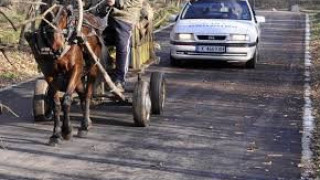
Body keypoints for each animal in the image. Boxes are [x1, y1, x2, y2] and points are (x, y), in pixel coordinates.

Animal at [27, 3, 107, 146]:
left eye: (64, 15)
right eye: (47, 16)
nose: (57, 47)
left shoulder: (75, 69)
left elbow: (66, 100)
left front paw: (67, 130)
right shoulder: (49, 74)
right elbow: (56, 103)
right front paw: (55, 135)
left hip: (91, 68)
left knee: (87, 95)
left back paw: (85, 126)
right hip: (79, 77)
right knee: (82, 94)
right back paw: (86, 123)